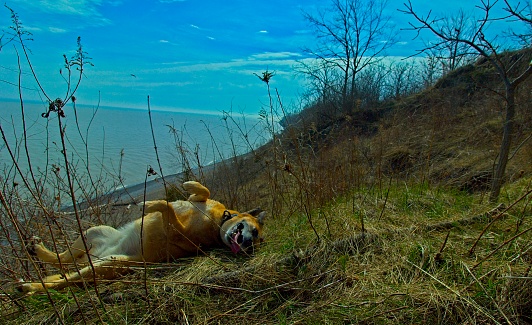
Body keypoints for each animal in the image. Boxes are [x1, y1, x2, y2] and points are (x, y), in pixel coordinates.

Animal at [20, 181, 266, 292]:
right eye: (254, 232)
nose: (247, 244)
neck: (217, 222)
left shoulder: (177, 232)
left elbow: (166, 206)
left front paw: (151, 205)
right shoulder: (198, 203)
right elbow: (202, 191)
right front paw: (191, 185)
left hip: (107, 264)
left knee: (65, 280)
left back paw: (32, 287)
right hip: (94, 232)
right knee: (62, 261)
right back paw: (37, 249)